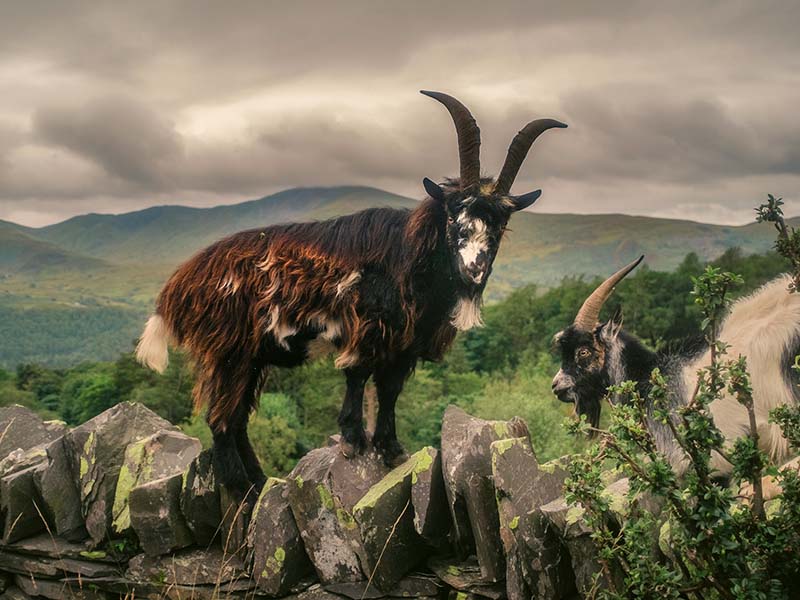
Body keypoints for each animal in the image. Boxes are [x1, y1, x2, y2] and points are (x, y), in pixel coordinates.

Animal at [136, 91, 567, 496]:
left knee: (237, 417)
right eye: (452, 215)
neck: (406, 256)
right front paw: (352, 441)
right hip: (228, 352)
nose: (473, 270)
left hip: (251, 358)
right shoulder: (365, 330)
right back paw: (240, 485)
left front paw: (390, 448)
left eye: (499, 225)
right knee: (221, 419)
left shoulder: (403, 346)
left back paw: (257, 481)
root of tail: (177, 287)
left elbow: (389, 391)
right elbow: (358, 378)